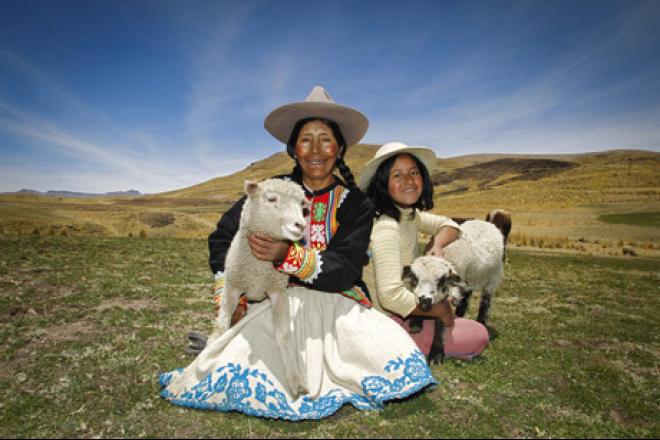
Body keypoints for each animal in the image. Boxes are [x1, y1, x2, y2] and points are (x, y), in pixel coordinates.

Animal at [209, 177, 312, 398]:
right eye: (271, 199)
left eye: (302, 204)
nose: (301, 225)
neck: (258, 269)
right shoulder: (232, 285)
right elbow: (222, 324)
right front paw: (210, 347)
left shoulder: (278, 291)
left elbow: (283, 333)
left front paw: (295, 378)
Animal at [402, 220, 506, 364]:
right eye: (414, 278)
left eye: (442, 280)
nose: (424, 302)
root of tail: (485, 222)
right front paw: (416, 322)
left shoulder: (450, 294)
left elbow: (440, 324)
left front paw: (436, 354)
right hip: (468, 280)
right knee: (466, 295)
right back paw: (460, 314)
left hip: (493, 277)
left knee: (486, 301)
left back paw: (481, 322)